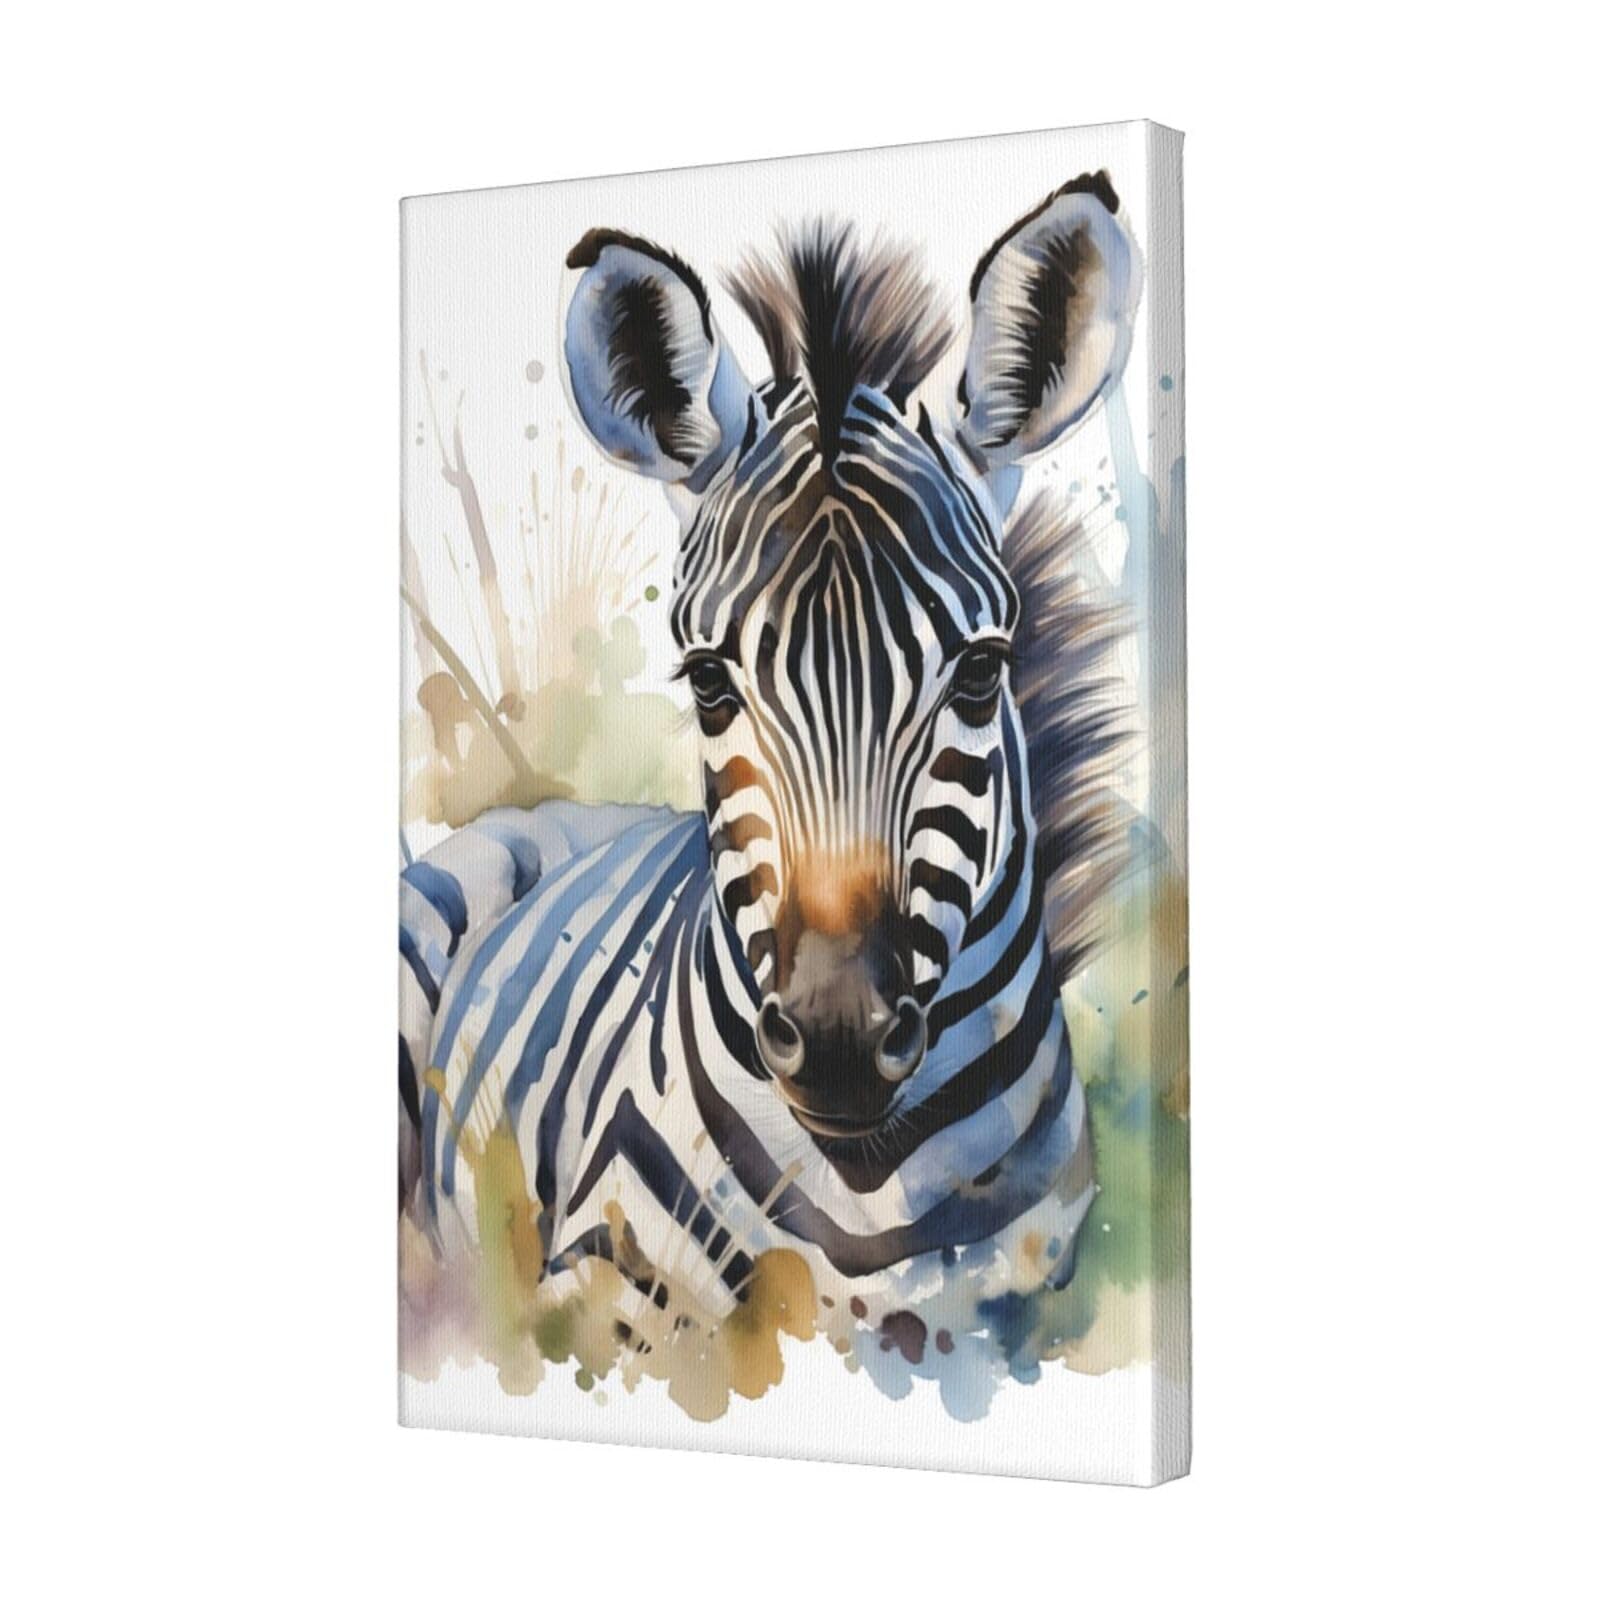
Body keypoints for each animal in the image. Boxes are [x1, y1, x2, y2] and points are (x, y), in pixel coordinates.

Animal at [400, 172, 1142, 1411]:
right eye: (708, 681)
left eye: (982, 671)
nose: (839, 1044)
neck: (863, 1187)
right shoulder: (596, 1298)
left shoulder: (1016, 1318)